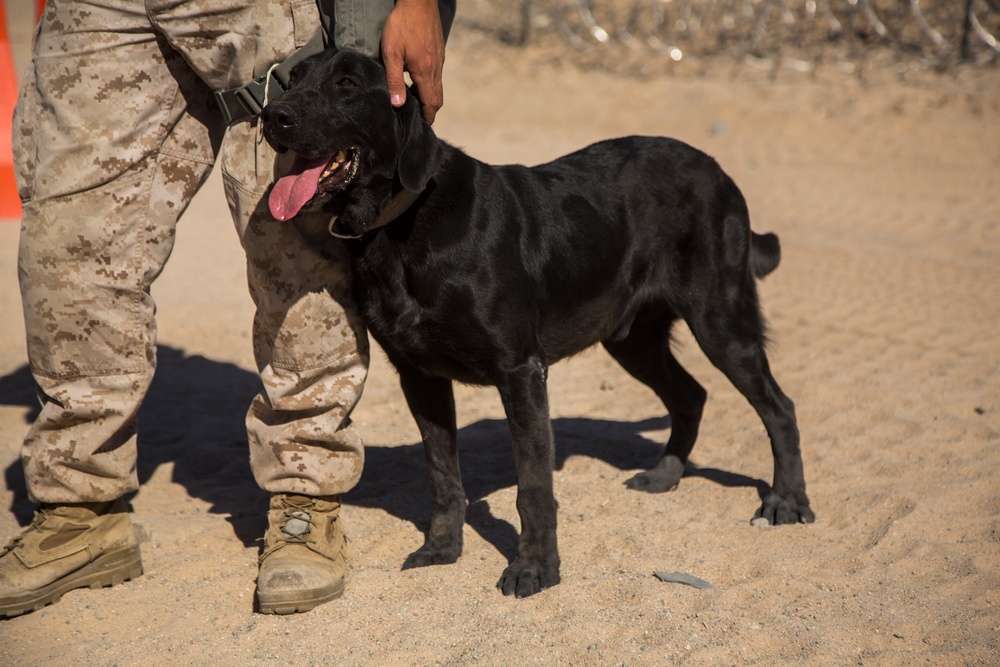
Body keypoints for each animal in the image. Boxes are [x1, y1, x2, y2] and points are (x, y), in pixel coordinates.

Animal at [260, 49, 812, 596]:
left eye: (347, 84)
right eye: (289, 78)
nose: (272, 116)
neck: (404, 222)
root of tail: (717, 170)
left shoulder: (520, 371)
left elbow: (533, 486)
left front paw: (535, 568)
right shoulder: (419, 376)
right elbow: (443, 475)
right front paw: (442, 548)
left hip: (720, 319)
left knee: (778, 407)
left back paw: (785, 500)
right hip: (632, 339)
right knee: (690, 395)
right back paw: (665, 474)